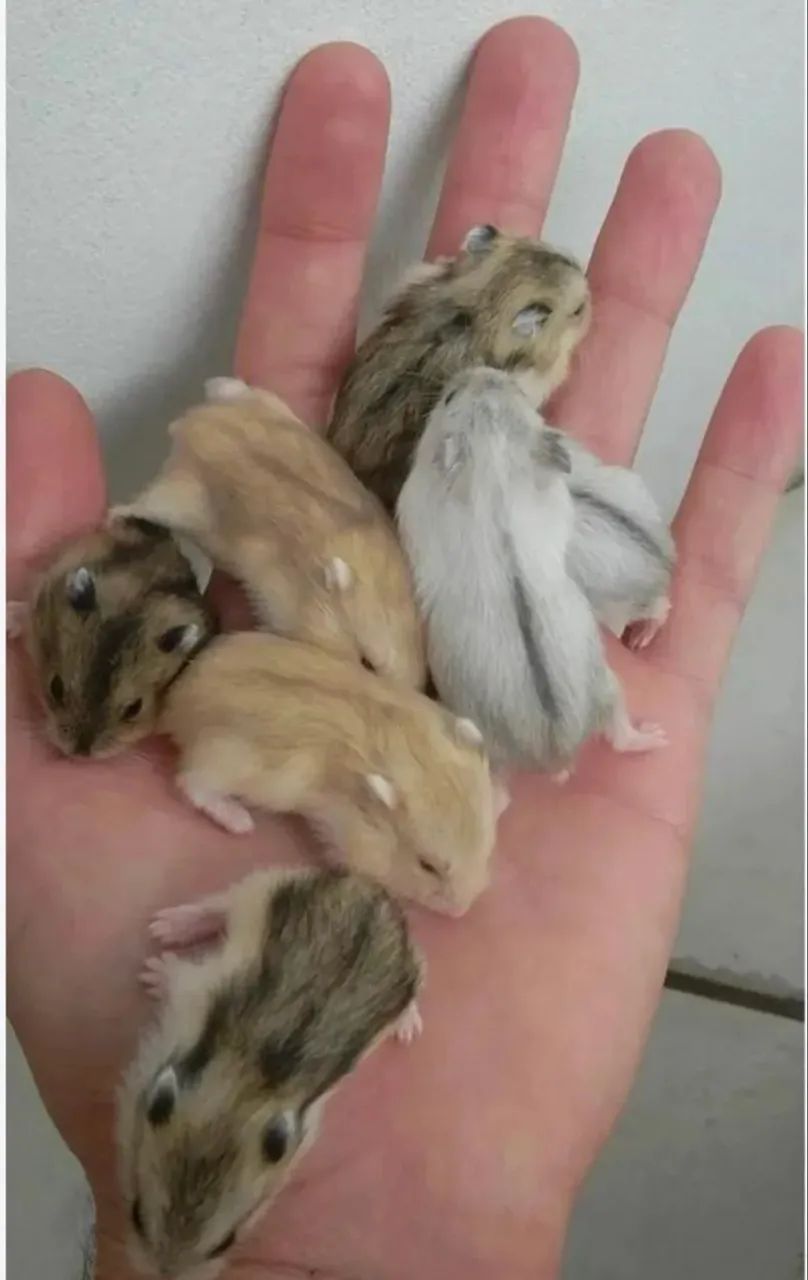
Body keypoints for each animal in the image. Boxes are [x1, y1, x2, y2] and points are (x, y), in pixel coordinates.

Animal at [118, 865, 424, 1280]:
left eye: (226, 1242)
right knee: (220, 902)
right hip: (267, 887)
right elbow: (178, 975)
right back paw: (167, 926)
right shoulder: (193, 991)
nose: (162, 1274)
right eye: (135, 1214)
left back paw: (409, 1027)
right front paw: (153, 970)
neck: (246, 1088)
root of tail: (373, 887)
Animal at [159, 631, 501, 916]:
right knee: (191, 785)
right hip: (221, 762)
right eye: (427, 866)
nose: (461, 911)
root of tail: (174, 705)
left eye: (486, 851)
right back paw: (241, 821)